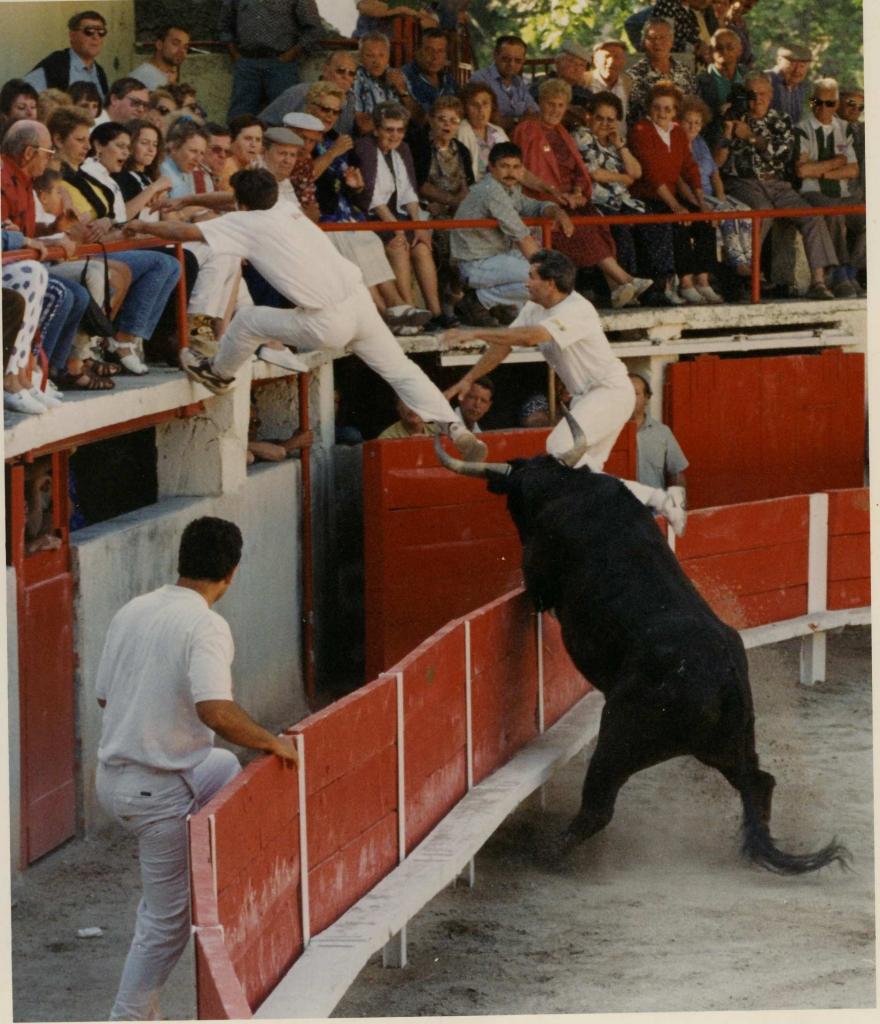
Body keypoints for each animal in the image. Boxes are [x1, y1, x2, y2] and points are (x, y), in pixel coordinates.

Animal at [436, 428, 848, 876]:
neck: (564, 488)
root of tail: (726, 680)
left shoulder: (540, 581)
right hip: (726, 746)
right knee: (760, 782)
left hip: (619, 736)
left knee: (598, 807)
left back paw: (545, 852)